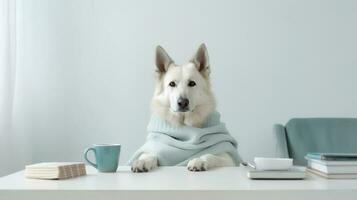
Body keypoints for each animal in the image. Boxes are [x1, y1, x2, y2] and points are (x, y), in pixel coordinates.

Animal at [130, 43, 236, 172]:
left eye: (192, 83)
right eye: (172, 84)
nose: (183, 102)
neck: (185, 125)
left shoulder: (228, 159)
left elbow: (210, 155)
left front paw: (198, 160)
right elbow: (149, 154)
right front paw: (143, 161)